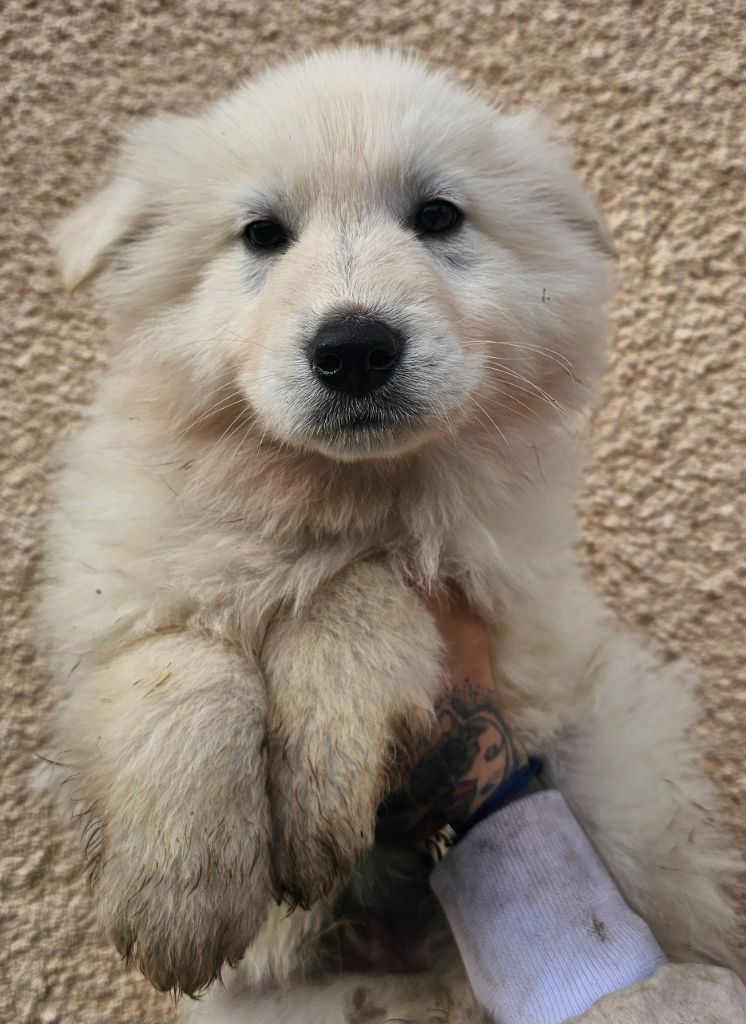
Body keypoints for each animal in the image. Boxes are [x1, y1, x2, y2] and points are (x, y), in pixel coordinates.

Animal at [43, 46, 736, 1024]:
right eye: (261, 235)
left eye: (438, 217)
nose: (354, 348)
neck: (335, 494)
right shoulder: (113, 588)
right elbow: (179, 658)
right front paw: (180, 887)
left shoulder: (506, 606)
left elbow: (357, 589)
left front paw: (319, 771)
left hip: (625, 760)